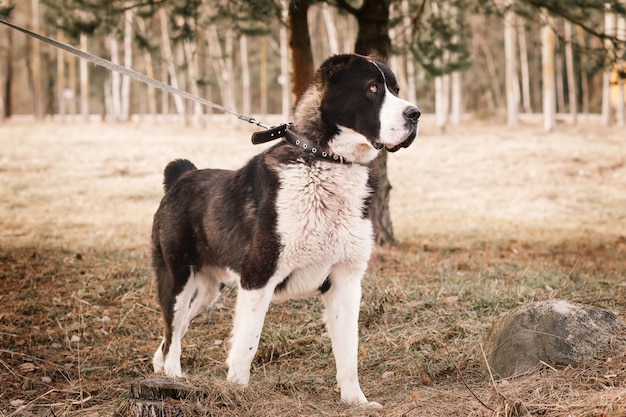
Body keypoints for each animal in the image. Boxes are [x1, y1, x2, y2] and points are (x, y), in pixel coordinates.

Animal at [150, 53, 420, 404]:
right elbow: (246, 344)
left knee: (173, 333)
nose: (415, 114)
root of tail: (181, 175)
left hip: (206, 289)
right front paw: (238, 393)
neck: (326, 160)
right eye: (373, 88)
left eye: (396, 89)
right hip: (178, 278)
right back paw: (174, 378)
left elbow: (349, 350)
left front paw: (355, 401)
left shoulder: (346, 282)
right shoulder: (258, 278)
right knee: (173, 332)